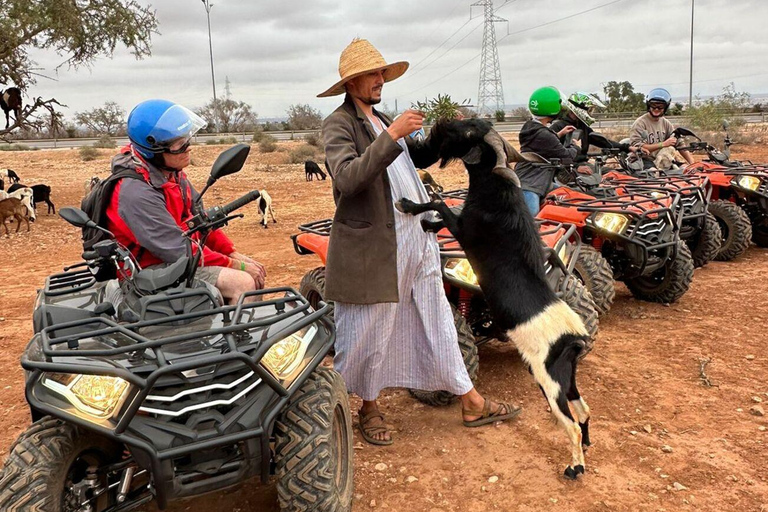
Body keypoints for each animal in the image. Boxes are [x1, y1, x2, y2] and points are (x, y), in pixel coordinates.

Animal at [396, 119, 592, 480]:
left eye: (467, 132)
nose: (436, 127)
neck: (495, 189)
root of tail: (574, 338)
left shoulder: (464, 228)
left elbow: (440, 206)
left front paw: (411, 208)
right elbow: (439, 210)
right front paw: (426, 223)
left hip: (548, 380)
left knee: (570, 422)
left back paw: (574, 468)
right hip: (565, 377)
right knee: (583, 410)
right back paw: (585, 447)